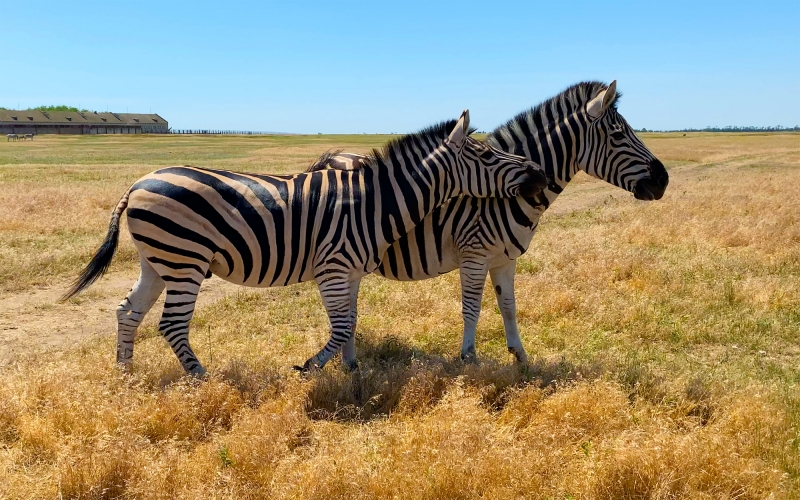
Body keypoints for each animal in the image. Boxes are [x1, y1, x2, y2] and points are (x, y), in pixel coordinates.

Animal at [62, 110, 547, 375]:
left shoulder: (350, 271)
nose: (539, 173)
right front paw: (312, 366)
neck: (372, 203)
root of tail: (139, 182)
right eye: (486, 155)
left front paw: (352, 371)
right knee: (172, 324)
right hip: (185, 261)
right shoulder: (333, 268)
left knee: (128, 312)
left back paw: (126, 374)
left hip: (158, 261)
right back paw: (201, 378)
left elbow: (350, 322)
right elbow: (341, 327)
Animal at [308, 81, 669, 365]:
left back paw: (352, 366)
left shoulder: (505, 259)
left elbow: (508, 306)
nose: (663, 180)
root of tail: (328, 158)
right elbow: (472, 308)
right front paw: (468, 358)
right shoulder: (474, 255)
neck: (504, 196)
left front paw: (520, 358)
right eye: (618, 135)